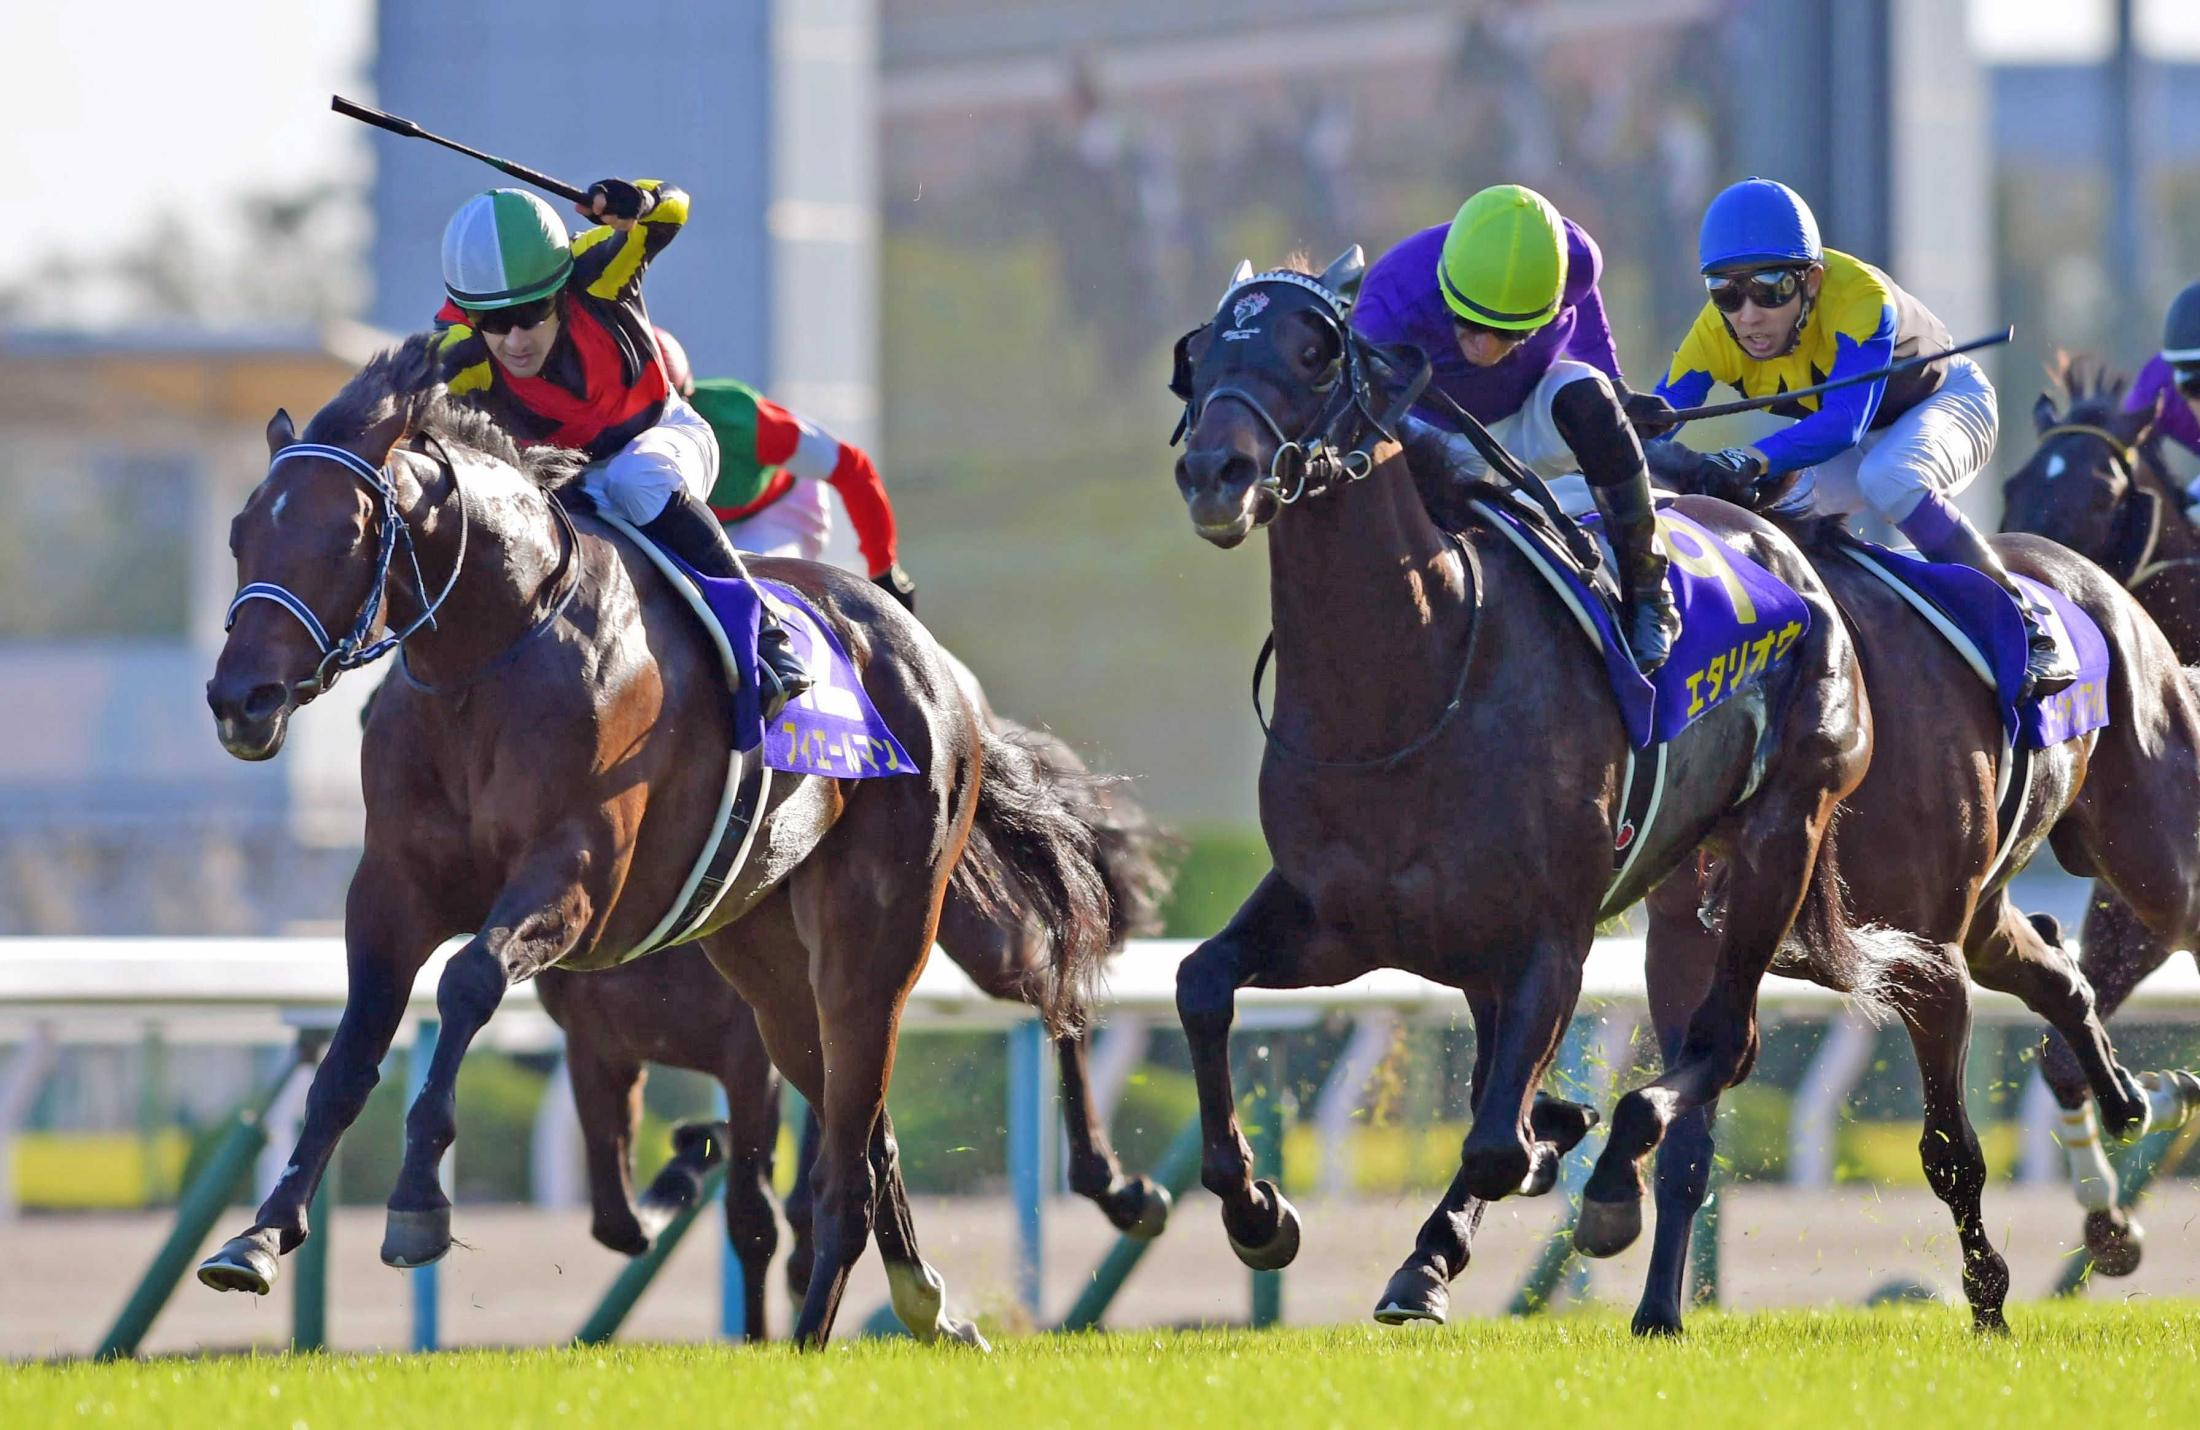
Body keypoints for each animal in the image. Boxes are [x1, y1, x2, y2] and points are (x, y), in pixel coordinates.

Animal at [198, 338, 1108, 1346]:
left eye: (344, 535)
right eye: (241, 534)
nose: (241, 699)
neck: (494, 651)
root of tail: (925, 653)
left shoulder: (578, 877)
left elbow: (469, 980)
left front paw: (417, 1202)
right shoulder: (394, 887)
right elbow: (351, 1051)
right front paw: (260, 1236)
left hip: (880, 931)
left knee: (848, 1162)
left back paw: (818, 1340)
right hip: (766, 962)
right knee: (863, 1134)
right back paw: (928, 1308)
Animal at [539, 712, 1179, 1337]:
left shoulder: (749, 1054)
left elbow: (750, 1214)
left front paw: (756, 1334)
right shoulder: (597, 1048)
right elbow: (617, 1221)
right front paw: (691, 1159)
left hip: (980, 938)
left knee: (1058, 997)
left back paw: (1116, 1187)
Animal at [1170, 250, 1892, 1320]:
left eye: (1313, 352)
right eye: (1204, 352)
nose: (1215, 472)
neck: (1413, 679)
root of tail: (1774, 540)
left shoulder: (1553, 937)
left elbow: (1496, 1144)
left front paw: (1459, 1235)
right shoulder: (1337, 918)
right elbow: (1202, 984)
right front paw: (1259, 1210)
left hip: (1783, 832)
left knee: (1725, 1043)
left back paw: (1614, 1187)